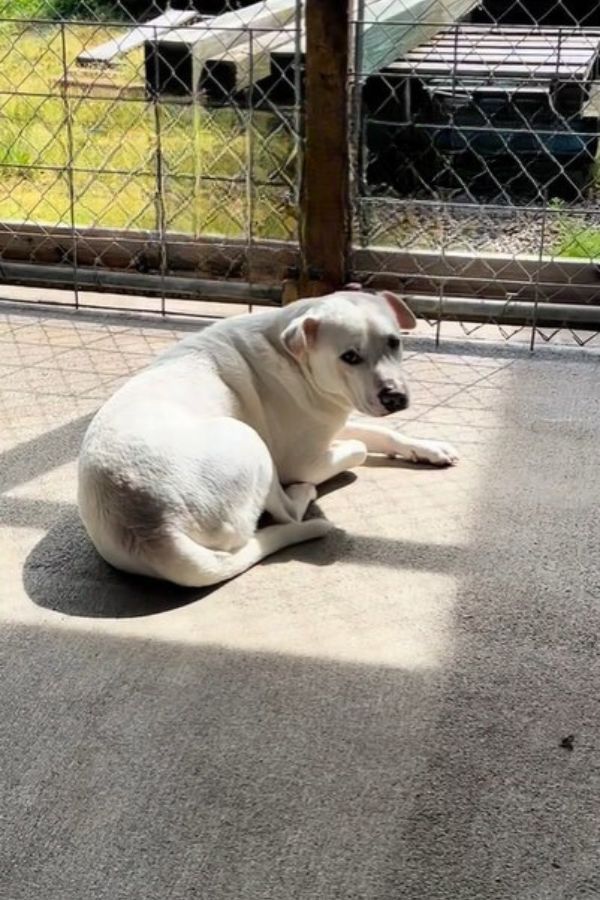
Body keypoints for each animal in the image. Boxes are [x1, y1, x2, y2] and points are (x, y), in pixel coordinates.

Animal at [77, 290, 458, 592]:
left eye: (394, 341)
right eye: (349, 356)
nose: (395, 397)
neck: (293, 354)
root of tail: (154, 529)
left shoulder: (332, 421)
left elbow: (383, 433)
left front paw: (428, 449)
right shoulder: (304, 459)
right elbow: (361, 450)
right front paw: (350, 453)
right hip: (253, 443)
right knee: (289, 514)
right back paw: (303, 493)